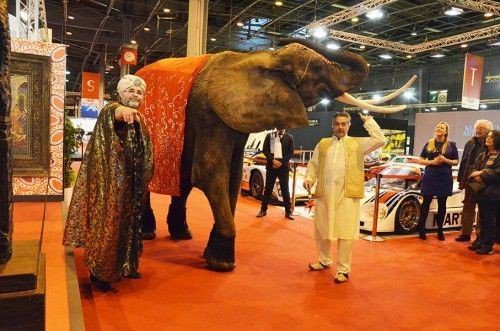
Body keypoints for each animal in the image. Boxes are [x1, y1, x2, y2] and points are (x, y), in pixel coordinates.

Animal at [137, 38, 414, 272]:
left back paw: (181, 235)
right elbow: (210, 173)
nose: (282, 38)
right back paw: (147, 234)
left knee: (182, 180)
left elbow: (232, 177)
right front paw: (222, 264)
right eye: (316, 69)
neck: (260, 59)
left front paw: (212, 256)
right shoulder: (209, 115)